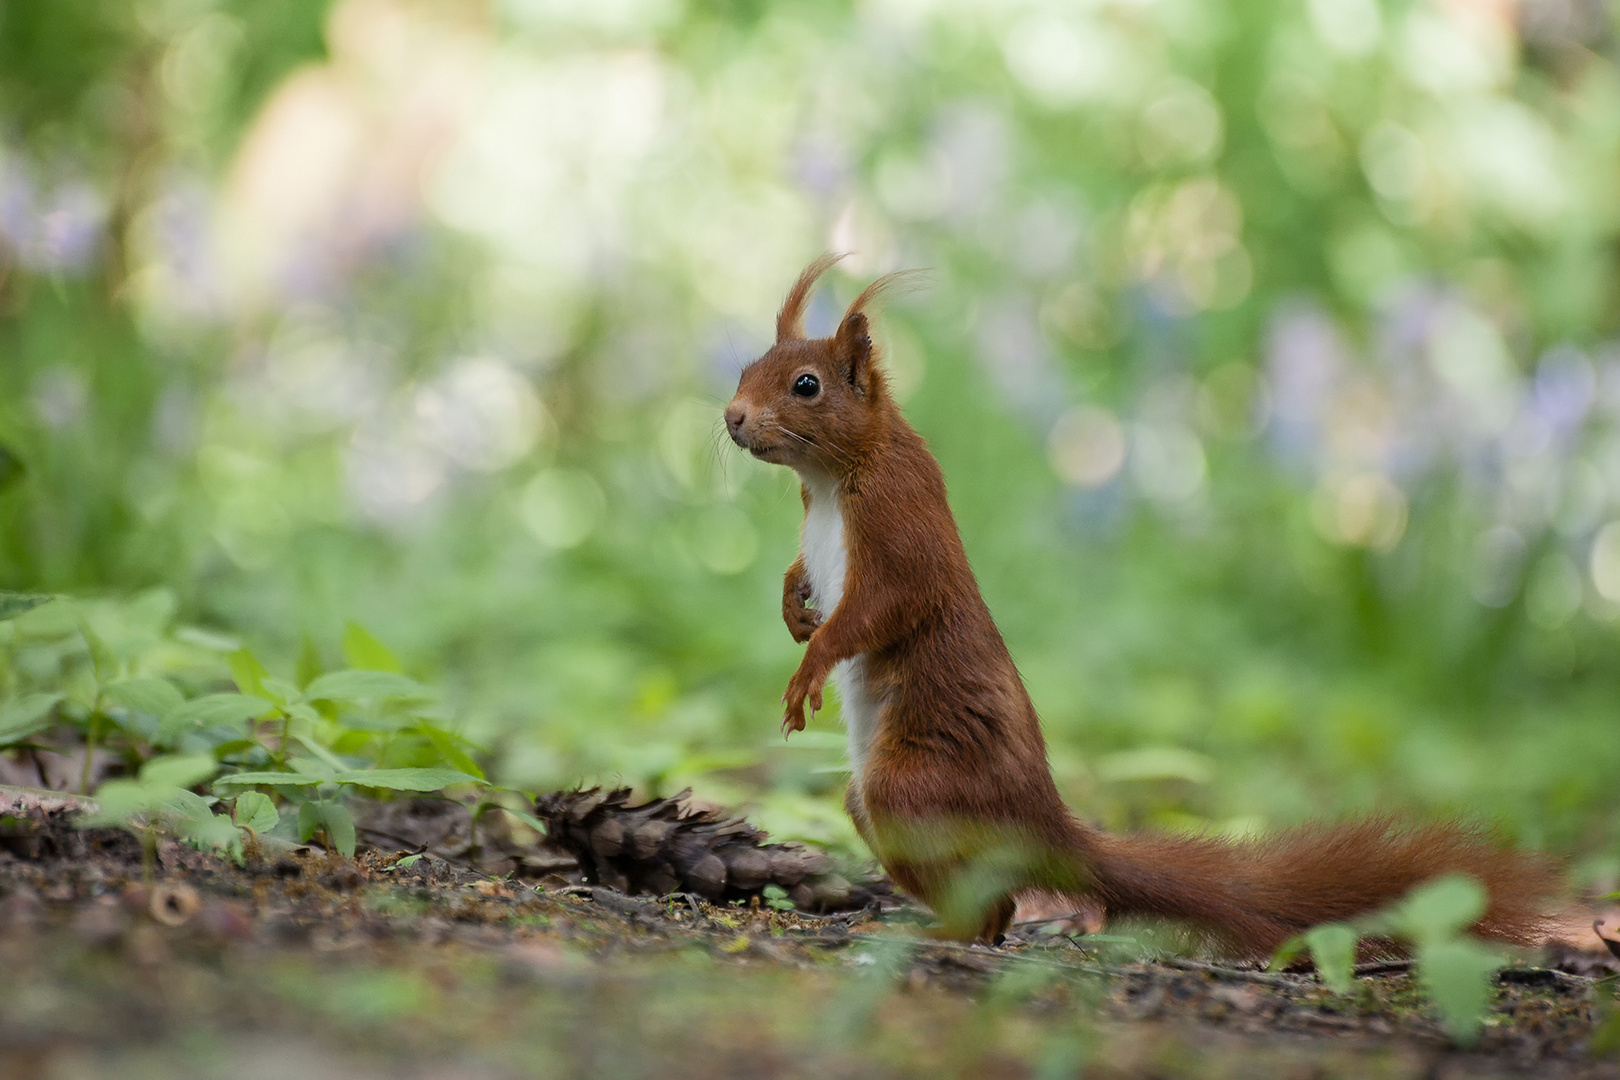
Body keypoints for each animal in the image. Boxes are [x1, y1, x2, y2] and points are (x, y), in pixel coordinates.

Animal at [722, 255, 1555, 952]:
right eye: (746, 366)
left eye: (806, 385)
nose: (731, 417)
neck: (833, 479)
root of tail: (1043, 826)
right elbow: (802, 575)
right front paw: (795, 609)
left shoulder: (900, 529)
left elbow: (883, 609)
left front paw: (811, 665)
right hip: (878, 807)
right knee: (994, 898)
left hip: (911, 786)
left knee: (987, 898)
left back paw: (935, 934)